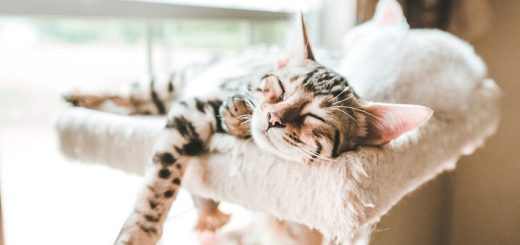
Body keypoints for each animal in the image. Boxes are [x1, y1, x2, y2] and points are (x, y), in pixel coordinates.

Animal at [65, 14, 430, 244]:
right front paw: (140, 231)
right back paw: (79, 95)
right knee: (131, 93)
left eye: (315, 118)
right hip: (165, 85)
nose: (273, 118)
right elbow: (160, 183)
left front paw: (238, 120)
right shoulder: (193, 107)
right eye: (280, 88)